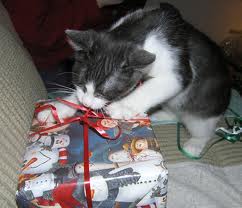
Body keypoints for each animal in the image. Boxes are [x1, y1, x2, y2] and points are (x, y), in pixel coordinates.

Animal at [37, 3, 231, 156]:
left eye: (104, 92)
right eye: (81, 84)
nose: (86, 103)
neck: (140, 30)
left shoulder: (177, 65)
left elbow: (158, 85)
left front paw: (121, 107)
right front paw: (57, 108)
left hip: (204, 107)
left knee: (202, 126)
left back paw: (195, 144)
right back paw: (160, 115)